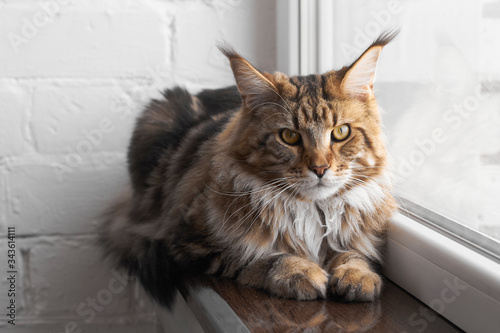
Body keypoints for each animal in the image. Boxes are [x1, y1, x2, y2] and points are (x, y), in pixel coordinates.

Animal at [100, 30, 398, 306]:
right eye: (289, 136)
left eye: (341, 133)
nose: (320, 168)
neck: (311, 210)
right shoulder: (186, 240)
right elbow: (259, 257)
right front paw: (299, 272)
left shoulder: (354, 236)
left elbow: (353, 254)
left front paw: (356, 275)